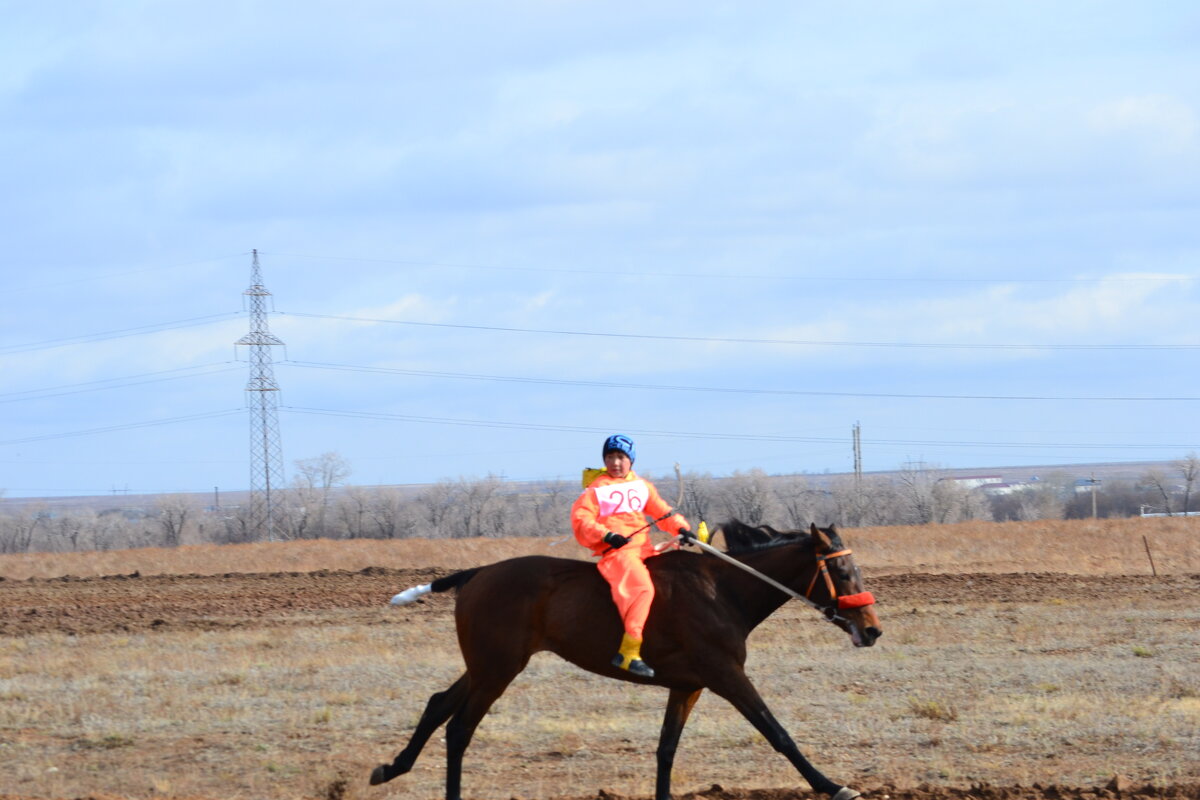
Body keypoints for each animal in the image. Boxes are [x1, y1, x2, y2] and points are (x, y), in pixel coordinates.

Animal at [369, 520, 888, 800]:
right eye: (843, 570)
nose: (872, 629)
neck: (723, 592)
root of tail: (476, 574)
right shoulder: (726, 675)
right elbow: (777, 733)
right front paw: (833, 784)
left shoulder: (688, 685)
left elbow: (666, 750)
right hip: (498, 669)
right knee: (459, 728)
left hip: (485, 665)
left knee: (438, 704)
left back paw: (391, 767)